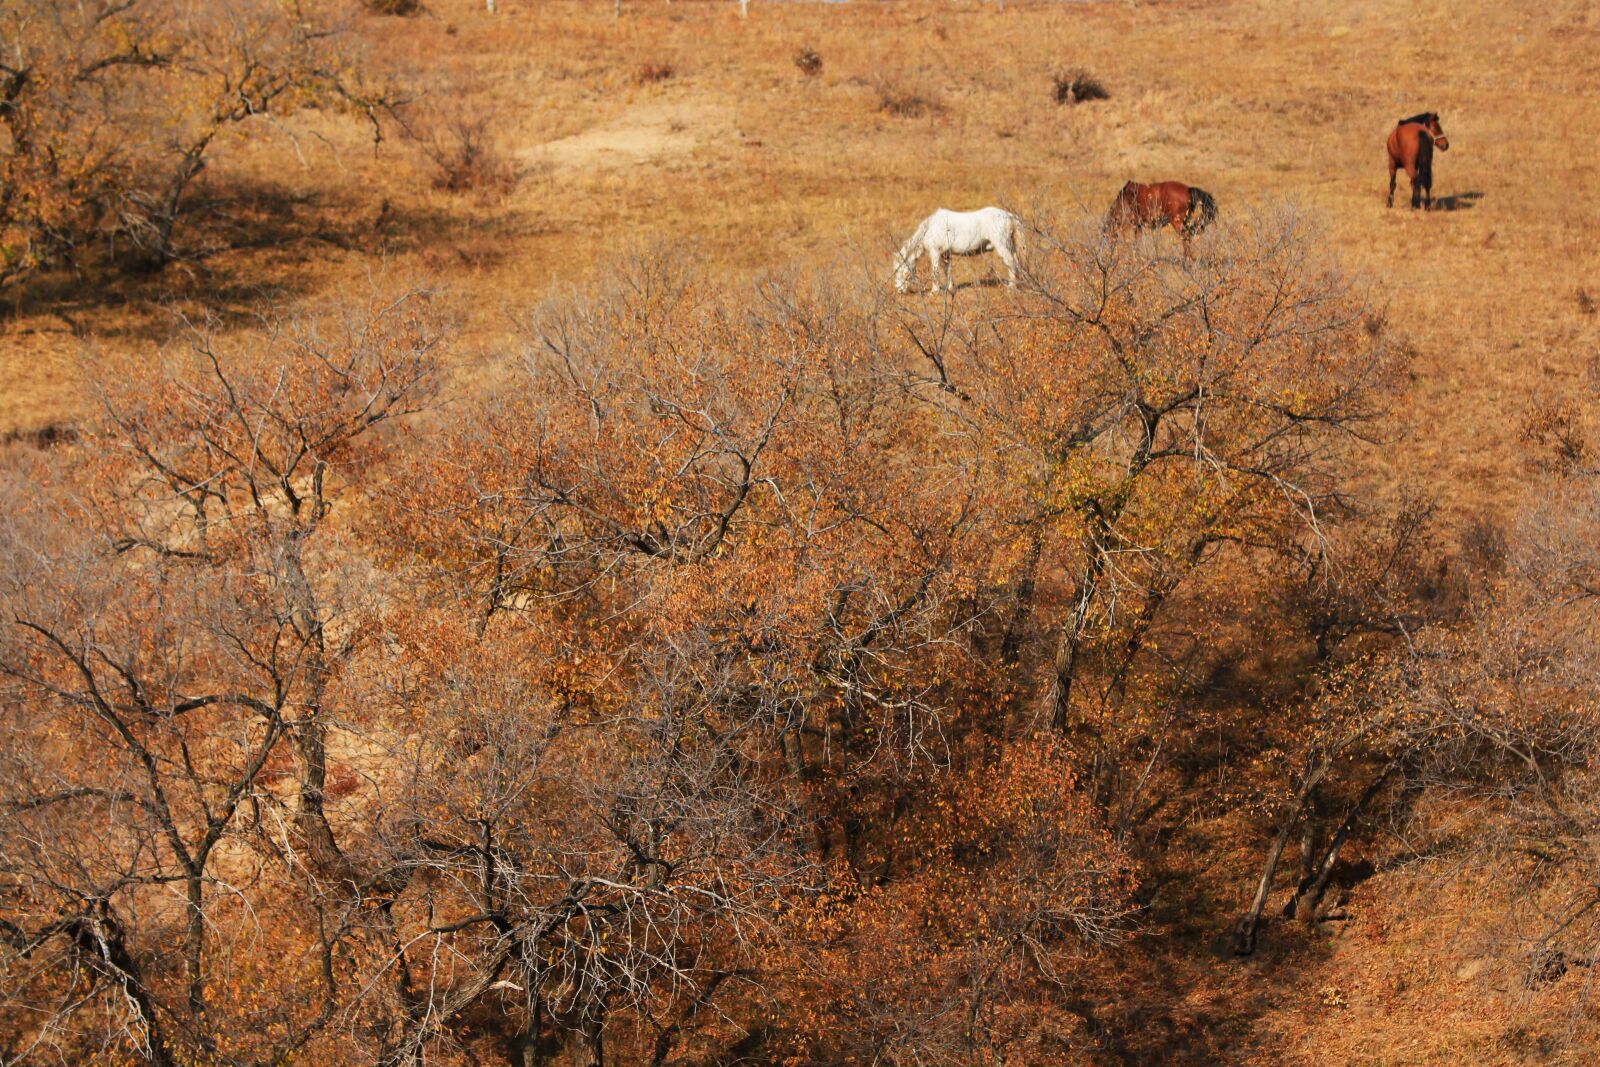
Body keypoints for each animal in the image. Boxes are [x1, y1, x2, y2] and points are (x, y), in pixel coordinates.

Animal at [889, 206, 1024, 292]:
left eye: (901, 271)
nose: (899, 290)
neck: (930, 227)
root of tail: (1009, 216)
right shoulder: (945, 254)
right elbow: (947, 270)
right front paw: (949, 288)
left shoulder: (935, 252)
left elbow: (935, 271)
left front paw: (934, 291)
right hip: (1010, 246)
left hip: (1002, 245)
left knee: (1011, 263)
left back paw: (1011, 287)